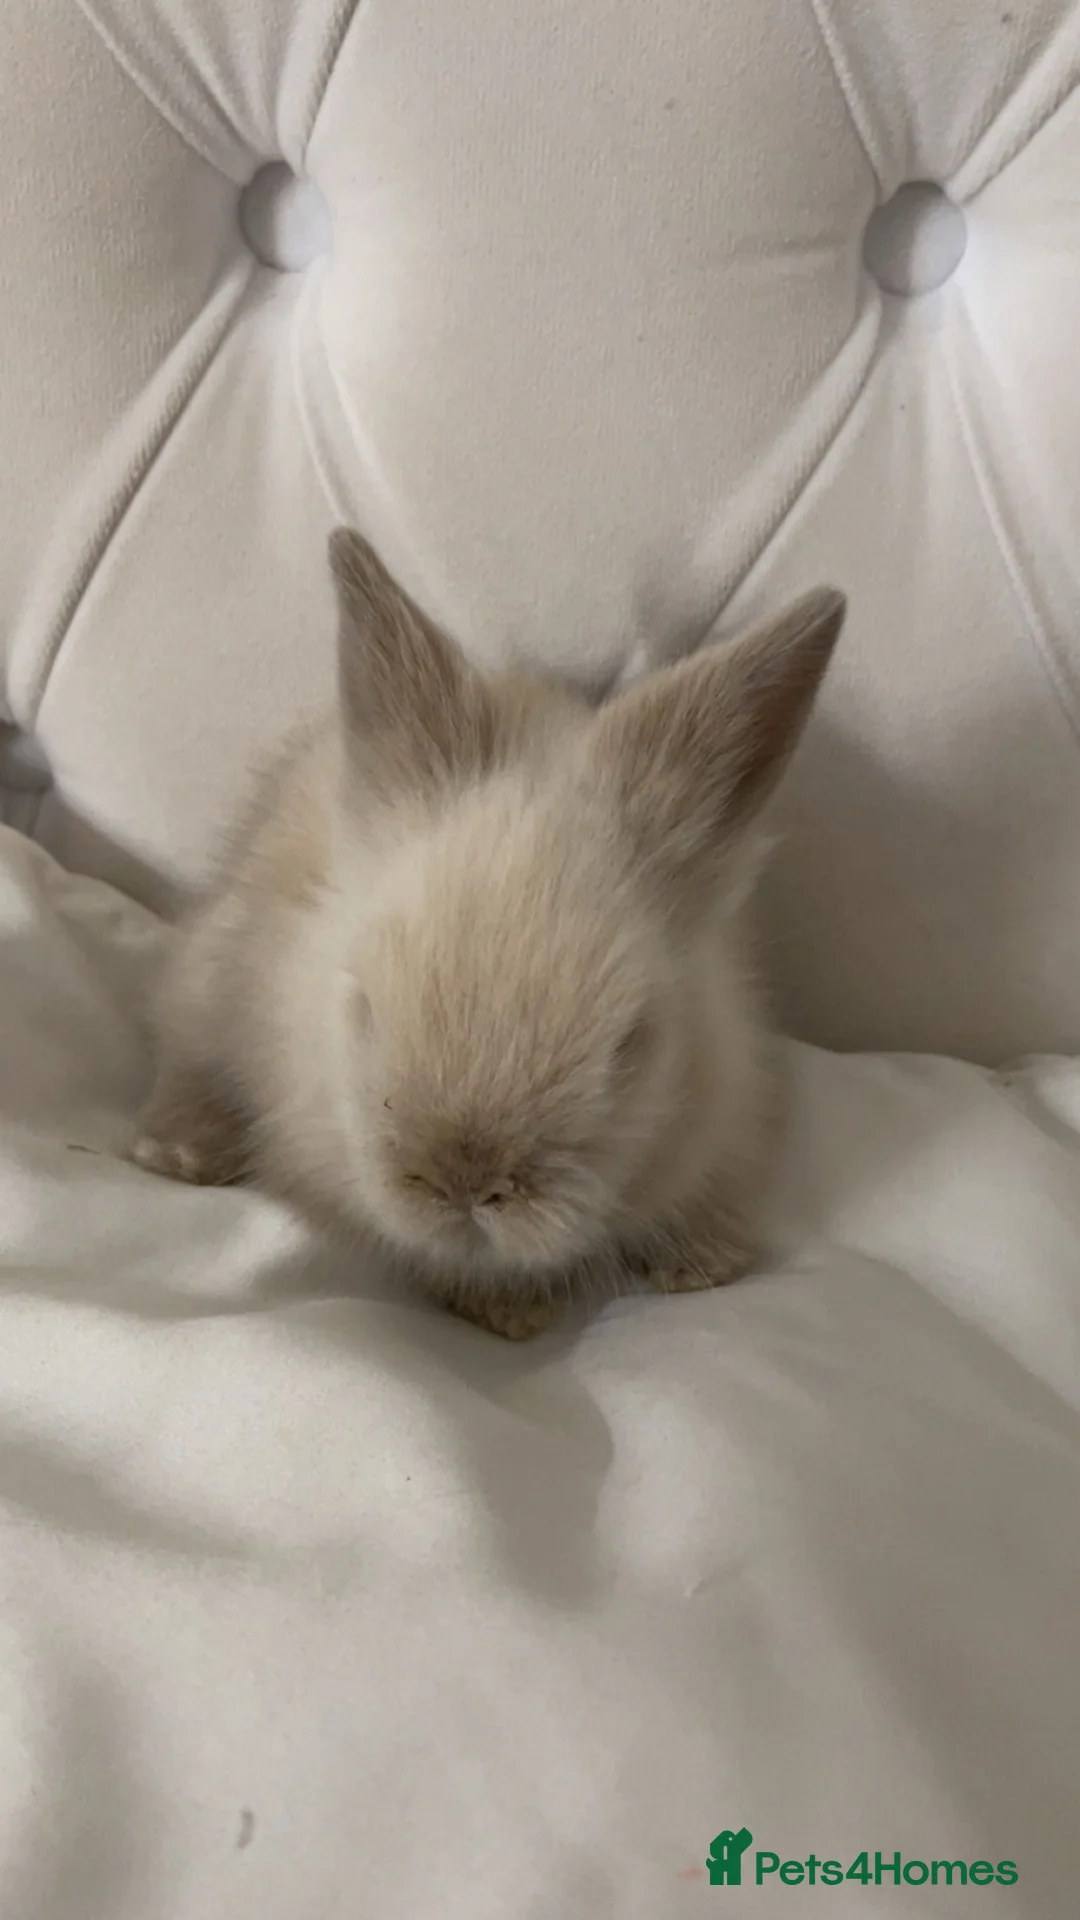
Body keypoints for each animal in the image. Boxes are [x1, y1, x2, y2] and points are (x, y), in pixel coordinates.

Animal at [132, 528, 845, 1338]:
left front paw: (703, 1267)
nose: (465, 1183)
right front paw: (509, 1310)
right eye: (363, 1008)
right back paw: (176, 1153)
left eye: (632, 1043)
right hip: (206, 982)